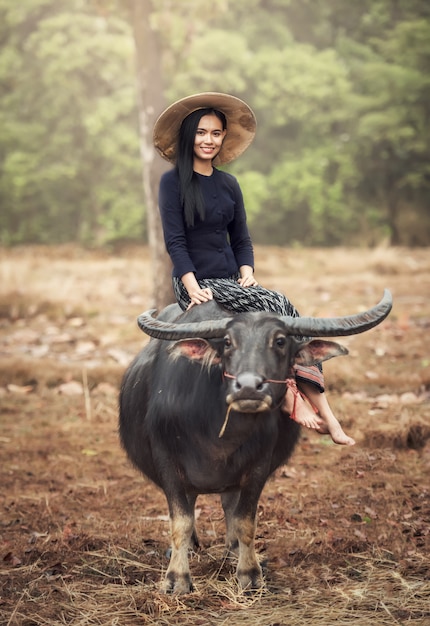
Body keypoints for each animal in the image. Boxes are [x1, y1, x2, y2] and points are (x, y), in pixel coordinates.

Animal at [119, 290, 392, 592]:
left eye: (280, 341)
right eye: (227, 342)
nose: (249, 387)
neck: (218, 433)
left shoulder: (259, 465)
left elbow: (245, 519)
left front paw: (249, 573)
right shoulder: (166, 460)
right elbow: (182, 520)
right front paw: (177, 579)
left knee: (229, 505)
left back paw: (233, 549)